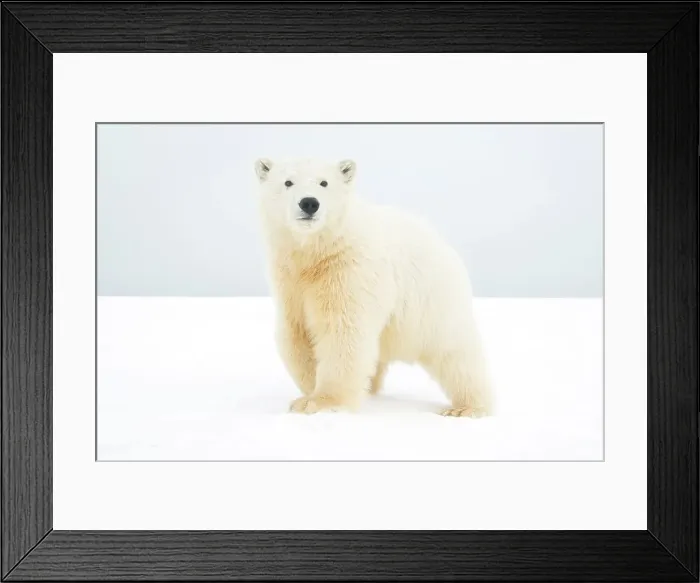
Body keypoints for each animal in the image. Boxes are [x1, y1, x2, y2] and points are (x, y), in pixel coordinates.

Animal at [254, 157, 493, 417]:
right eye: (288, 182)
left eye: (324, 182)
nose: (309, 203)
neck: (319, 253)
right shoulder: (289, 282)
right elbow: (297, 334)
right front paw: (308, 393)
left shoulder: (348, 270)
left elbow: (342, 332)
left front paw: (320, 402)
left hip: (430, 298)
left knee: (454, 350)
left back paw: (466, 407)